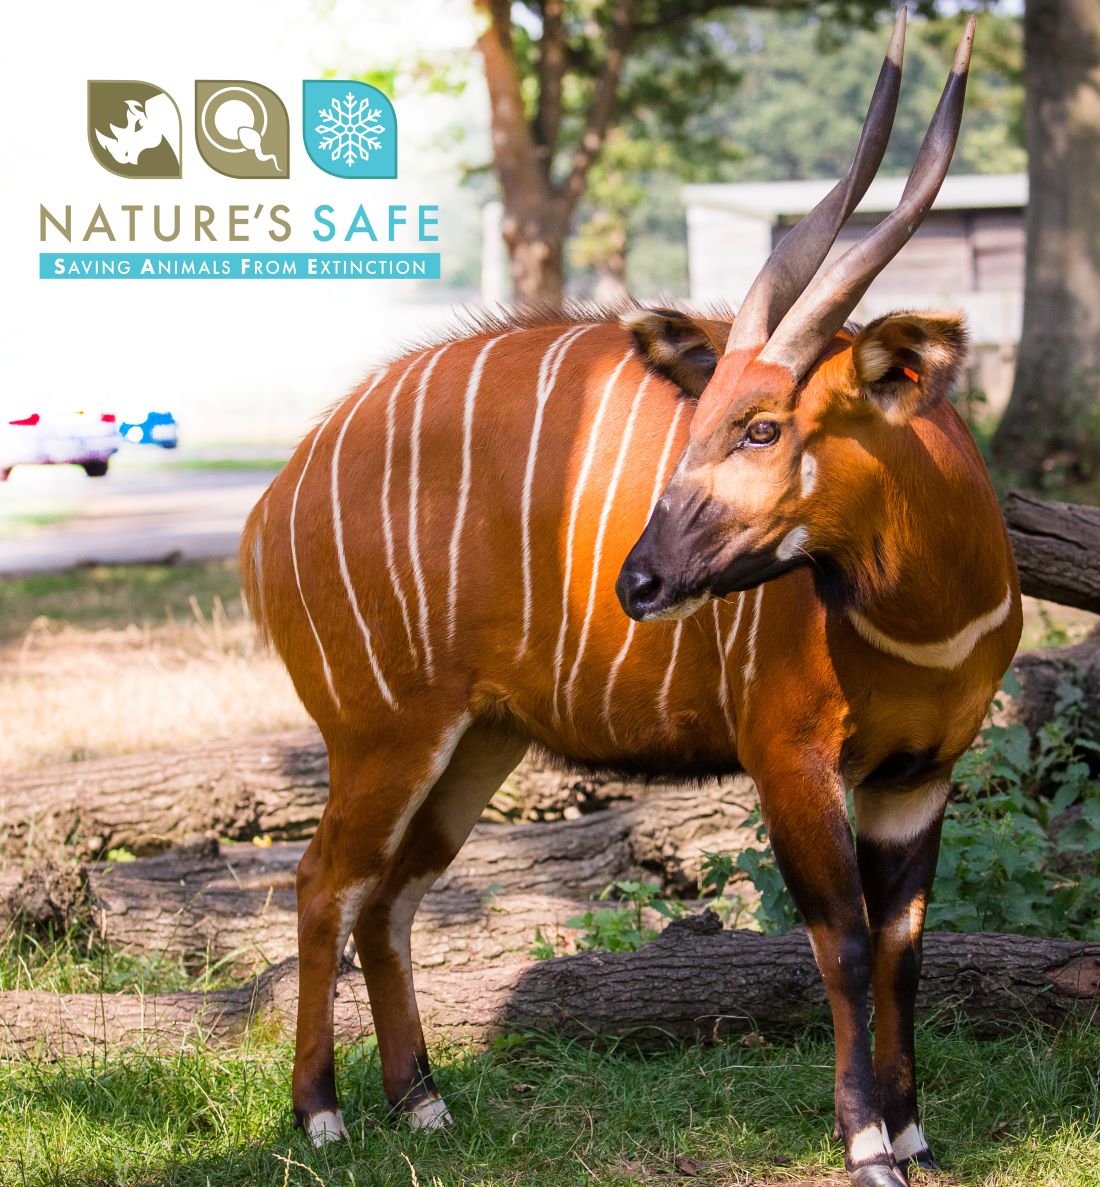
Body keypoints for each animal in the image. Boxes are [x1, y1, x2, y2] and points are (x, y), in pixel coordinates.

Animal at [243, 13, 1025, 1182]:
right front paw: (868, 1143)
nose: (639, 579)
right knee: (319, 879)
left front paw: (916, 1132)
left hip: (474, 743)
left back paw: (423, 1103)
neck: (927, 610)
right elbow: (841, 940)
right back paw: (321, 1113)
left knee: (390, 897)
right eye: (703, 417)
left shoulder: (919, 772)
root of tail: (274, 496)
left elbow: (903, 943)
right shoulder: (788, 754)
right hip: (380, 733)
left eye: (762, 425)